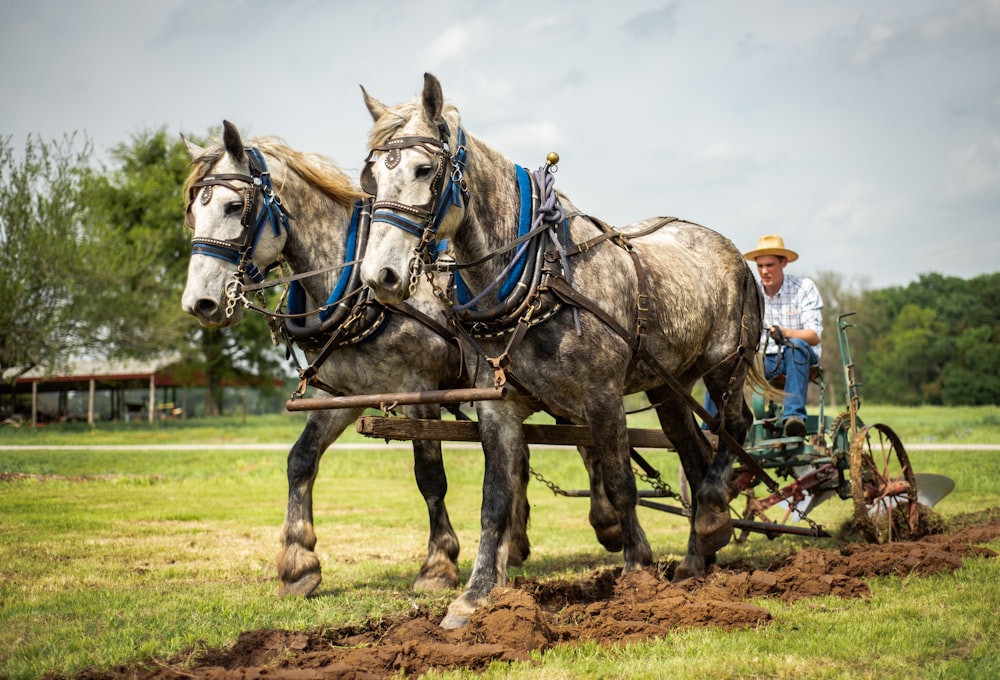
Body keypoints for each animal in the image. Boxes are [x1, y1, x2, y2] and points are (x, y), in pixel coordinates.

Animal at [180, 121, 528, 596]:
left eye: (234, 206)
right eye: (193, 213)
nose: (199, 303)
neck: (360, 294)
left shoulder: (419, 391)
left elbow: (430, 477)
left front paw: (438, 565)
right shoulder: (342, 396)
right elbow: (300, 460)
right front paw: (299, 564)